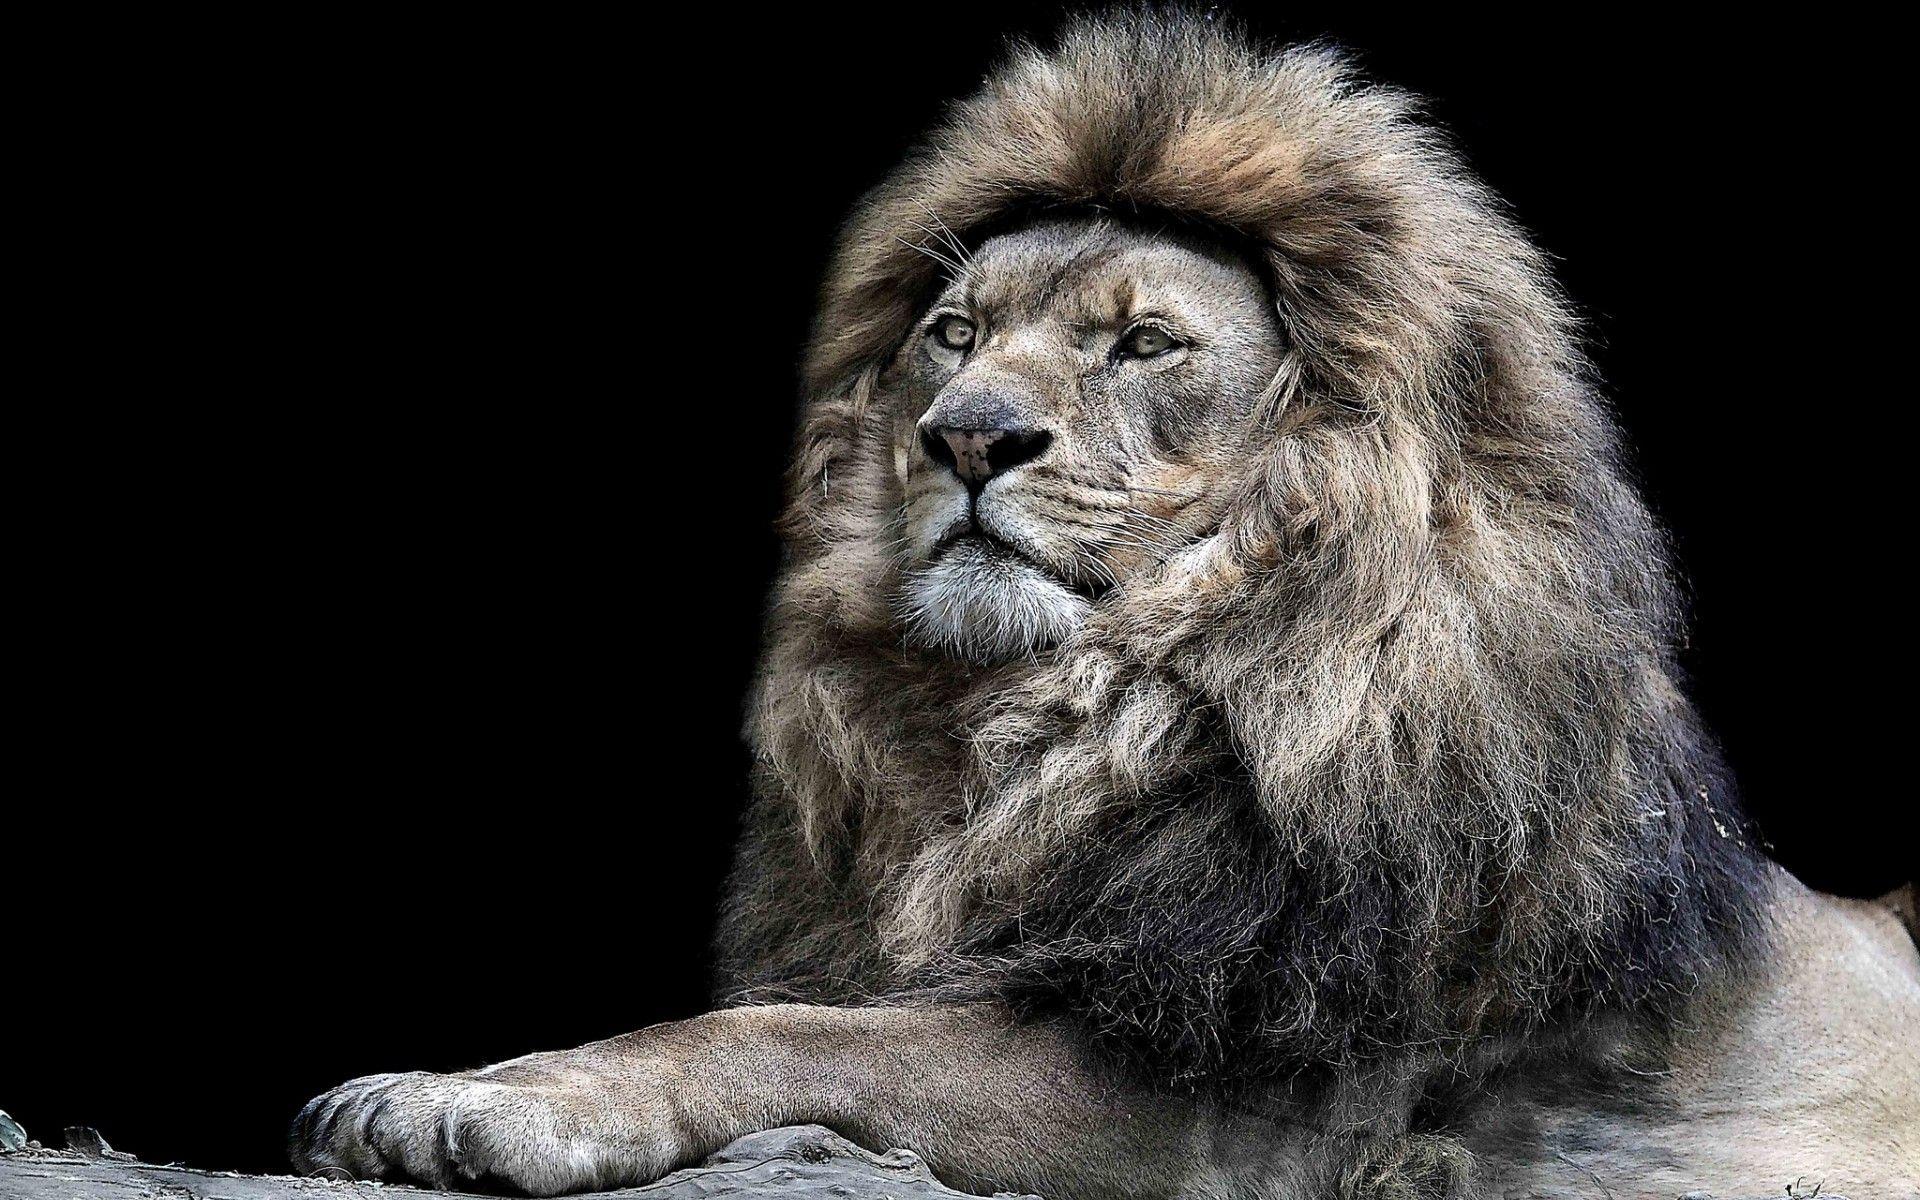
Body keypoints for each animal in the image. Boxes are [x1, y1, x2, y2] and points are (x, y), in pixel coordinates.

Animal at [291, 12, 1920, 1198]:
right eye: (955, 333)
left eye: (1144, 344)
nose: (966, 436)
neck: (1065, 718)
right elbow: (812, 1017)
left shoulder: (1243, 1097)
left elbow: (786, 1035)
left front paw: (473, 1100)